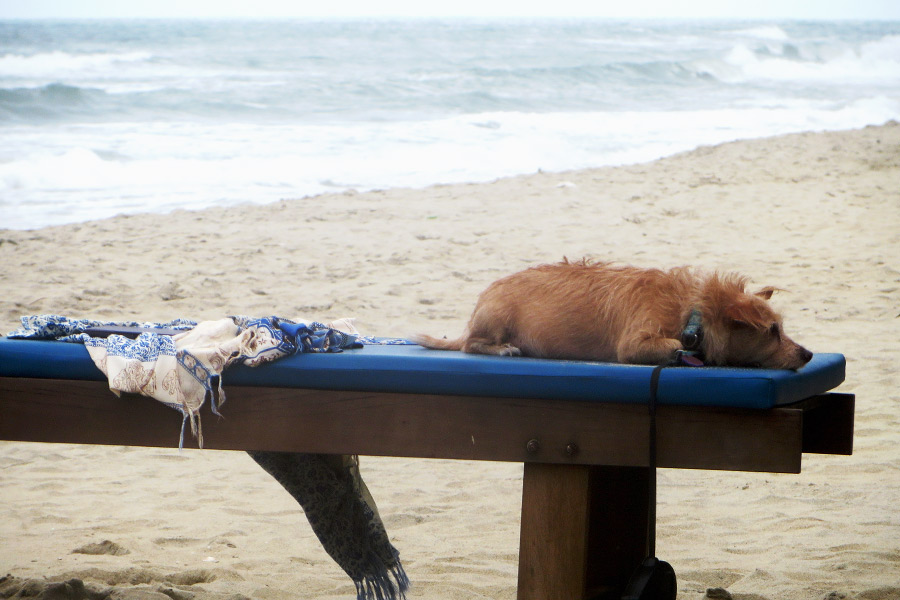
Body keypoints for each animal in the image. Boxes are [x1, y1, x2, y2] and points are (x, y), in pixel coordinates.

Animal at [414, 258, 816, 370]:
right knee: (473, 345)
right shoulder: (634, 344)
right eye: (773, 331)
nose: (809, 354)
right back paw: (501, 348)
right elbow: (669, 345)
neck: (691, 313)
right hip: (494, 317)